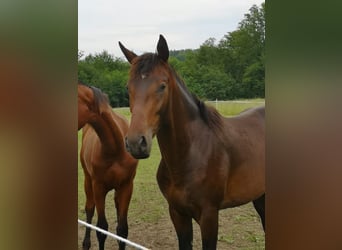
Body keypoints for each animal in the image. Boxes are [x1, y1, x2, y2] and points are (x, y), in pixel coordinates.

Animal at [78, 82, 138, 250]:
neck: (115, 149)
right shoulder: (98, 187)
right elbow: (102, 229)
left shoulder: (126, 187)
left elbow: (122, 230)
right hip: (88, 181)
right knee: (89, 209)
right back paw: (86, 243)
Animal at [119, 35, 266, 250]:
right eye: (128, 88)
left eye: (162, 86)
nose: (136, 143)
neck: (190, 154)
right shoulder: (177, 213)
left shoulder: (209, 216)